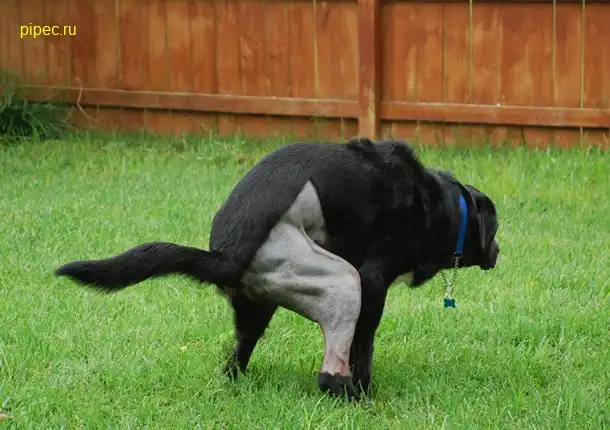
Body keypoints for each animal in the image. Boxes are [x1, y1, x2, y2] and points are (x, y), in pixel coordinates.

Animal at [54, 137, 500, 401]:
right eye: (495, 228)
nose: (498, 251)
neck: (442, 206)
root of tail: (227, 251)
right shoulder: (373, 283)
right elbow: (364, 347)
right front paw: (367, 388)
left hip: (260, 305)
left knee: (235, 357)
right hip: (342, 283)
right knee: (329, 371)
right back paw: (349, 397)